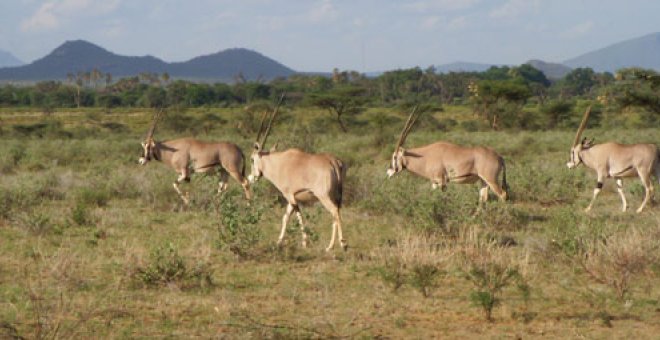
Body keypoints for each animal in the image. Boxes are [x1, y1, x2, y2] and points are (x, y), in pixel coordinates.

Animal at [248, 99, 348, 251]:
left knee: (334, 212)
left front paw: (305, 242)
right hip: (335, 196)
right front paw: (278, 242)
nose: (251, 178)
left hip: (323, 196)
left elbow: (298, 215)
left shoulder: (290, 196)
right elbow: (285, 217)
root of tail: (333, 161)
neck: (278, 163)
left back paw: (337, 245)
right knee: (337, 213)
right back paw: (333, 245)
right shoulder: (291, 199)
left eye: (252, 159)